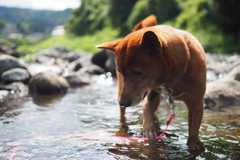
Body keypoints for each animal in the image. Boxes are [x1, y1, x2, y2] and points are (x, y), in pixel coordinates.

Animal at [96, 15, 205, 150]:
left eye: (137, 73)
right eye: (120, 72)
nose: (124, 102)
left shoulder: (196, 103)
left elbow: (193, 131)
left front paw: (193, 145)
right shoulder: (150, 91)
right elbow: (146, 107)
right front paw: (148, 129)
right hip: (123, 92)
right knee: (123, 114)